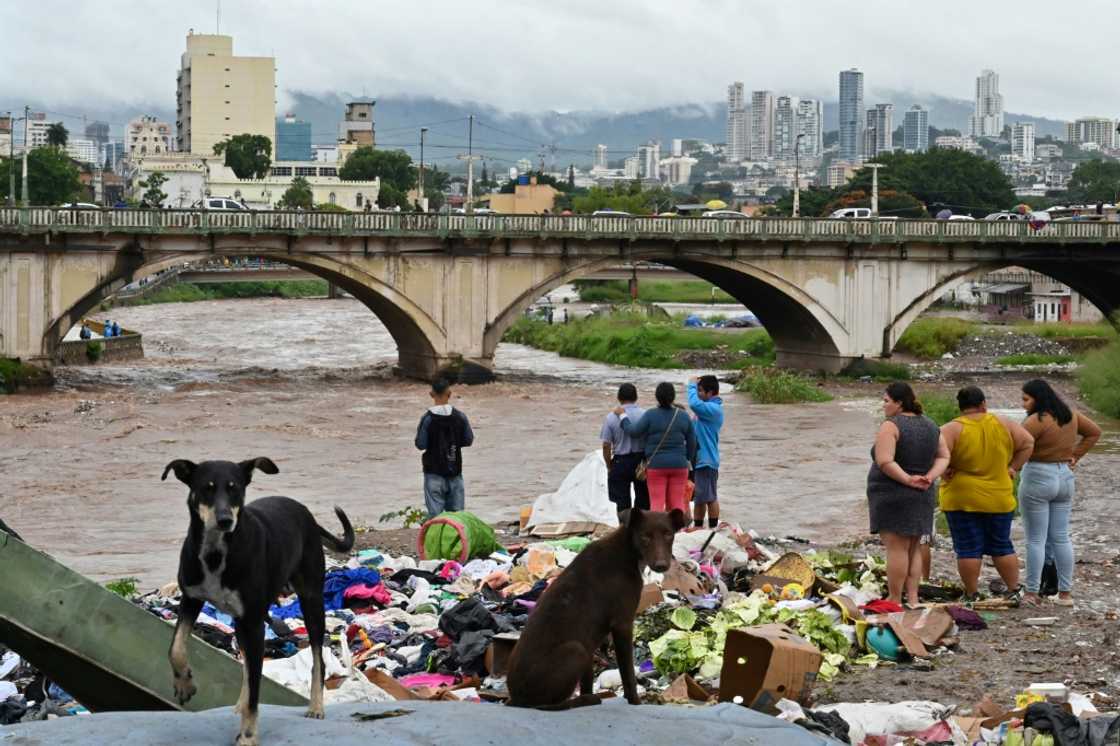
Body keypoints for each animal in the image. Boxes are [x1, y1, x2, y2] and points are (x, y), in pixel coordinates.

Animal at [162, 457, 351, 739]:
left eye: (235, 488)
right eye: (207, 488)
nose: (225, 520)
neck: (216, 552)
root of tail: (305, 512)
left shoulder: (253, 621)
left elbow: (255, 685)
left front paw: (248, 736)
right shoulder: (191, 599)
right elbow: (176, 646)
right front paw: (184, 683)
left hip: (311, 600)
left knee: (317, 657)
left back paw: (316, 706)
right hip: (243, 621)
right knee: (249, 665)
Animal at [506, 508, 680, 707]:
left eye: (668, 534)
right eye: (645, 536)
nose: (662, 565)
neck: (627, 550)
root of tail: (516, 699)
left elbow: (588, 681)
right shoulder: (623, 623)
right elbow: (627, 672)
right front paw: (634, 700)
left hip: (585, 650)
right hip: (576, 650)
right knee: (549, 705)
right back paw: (586, 700)